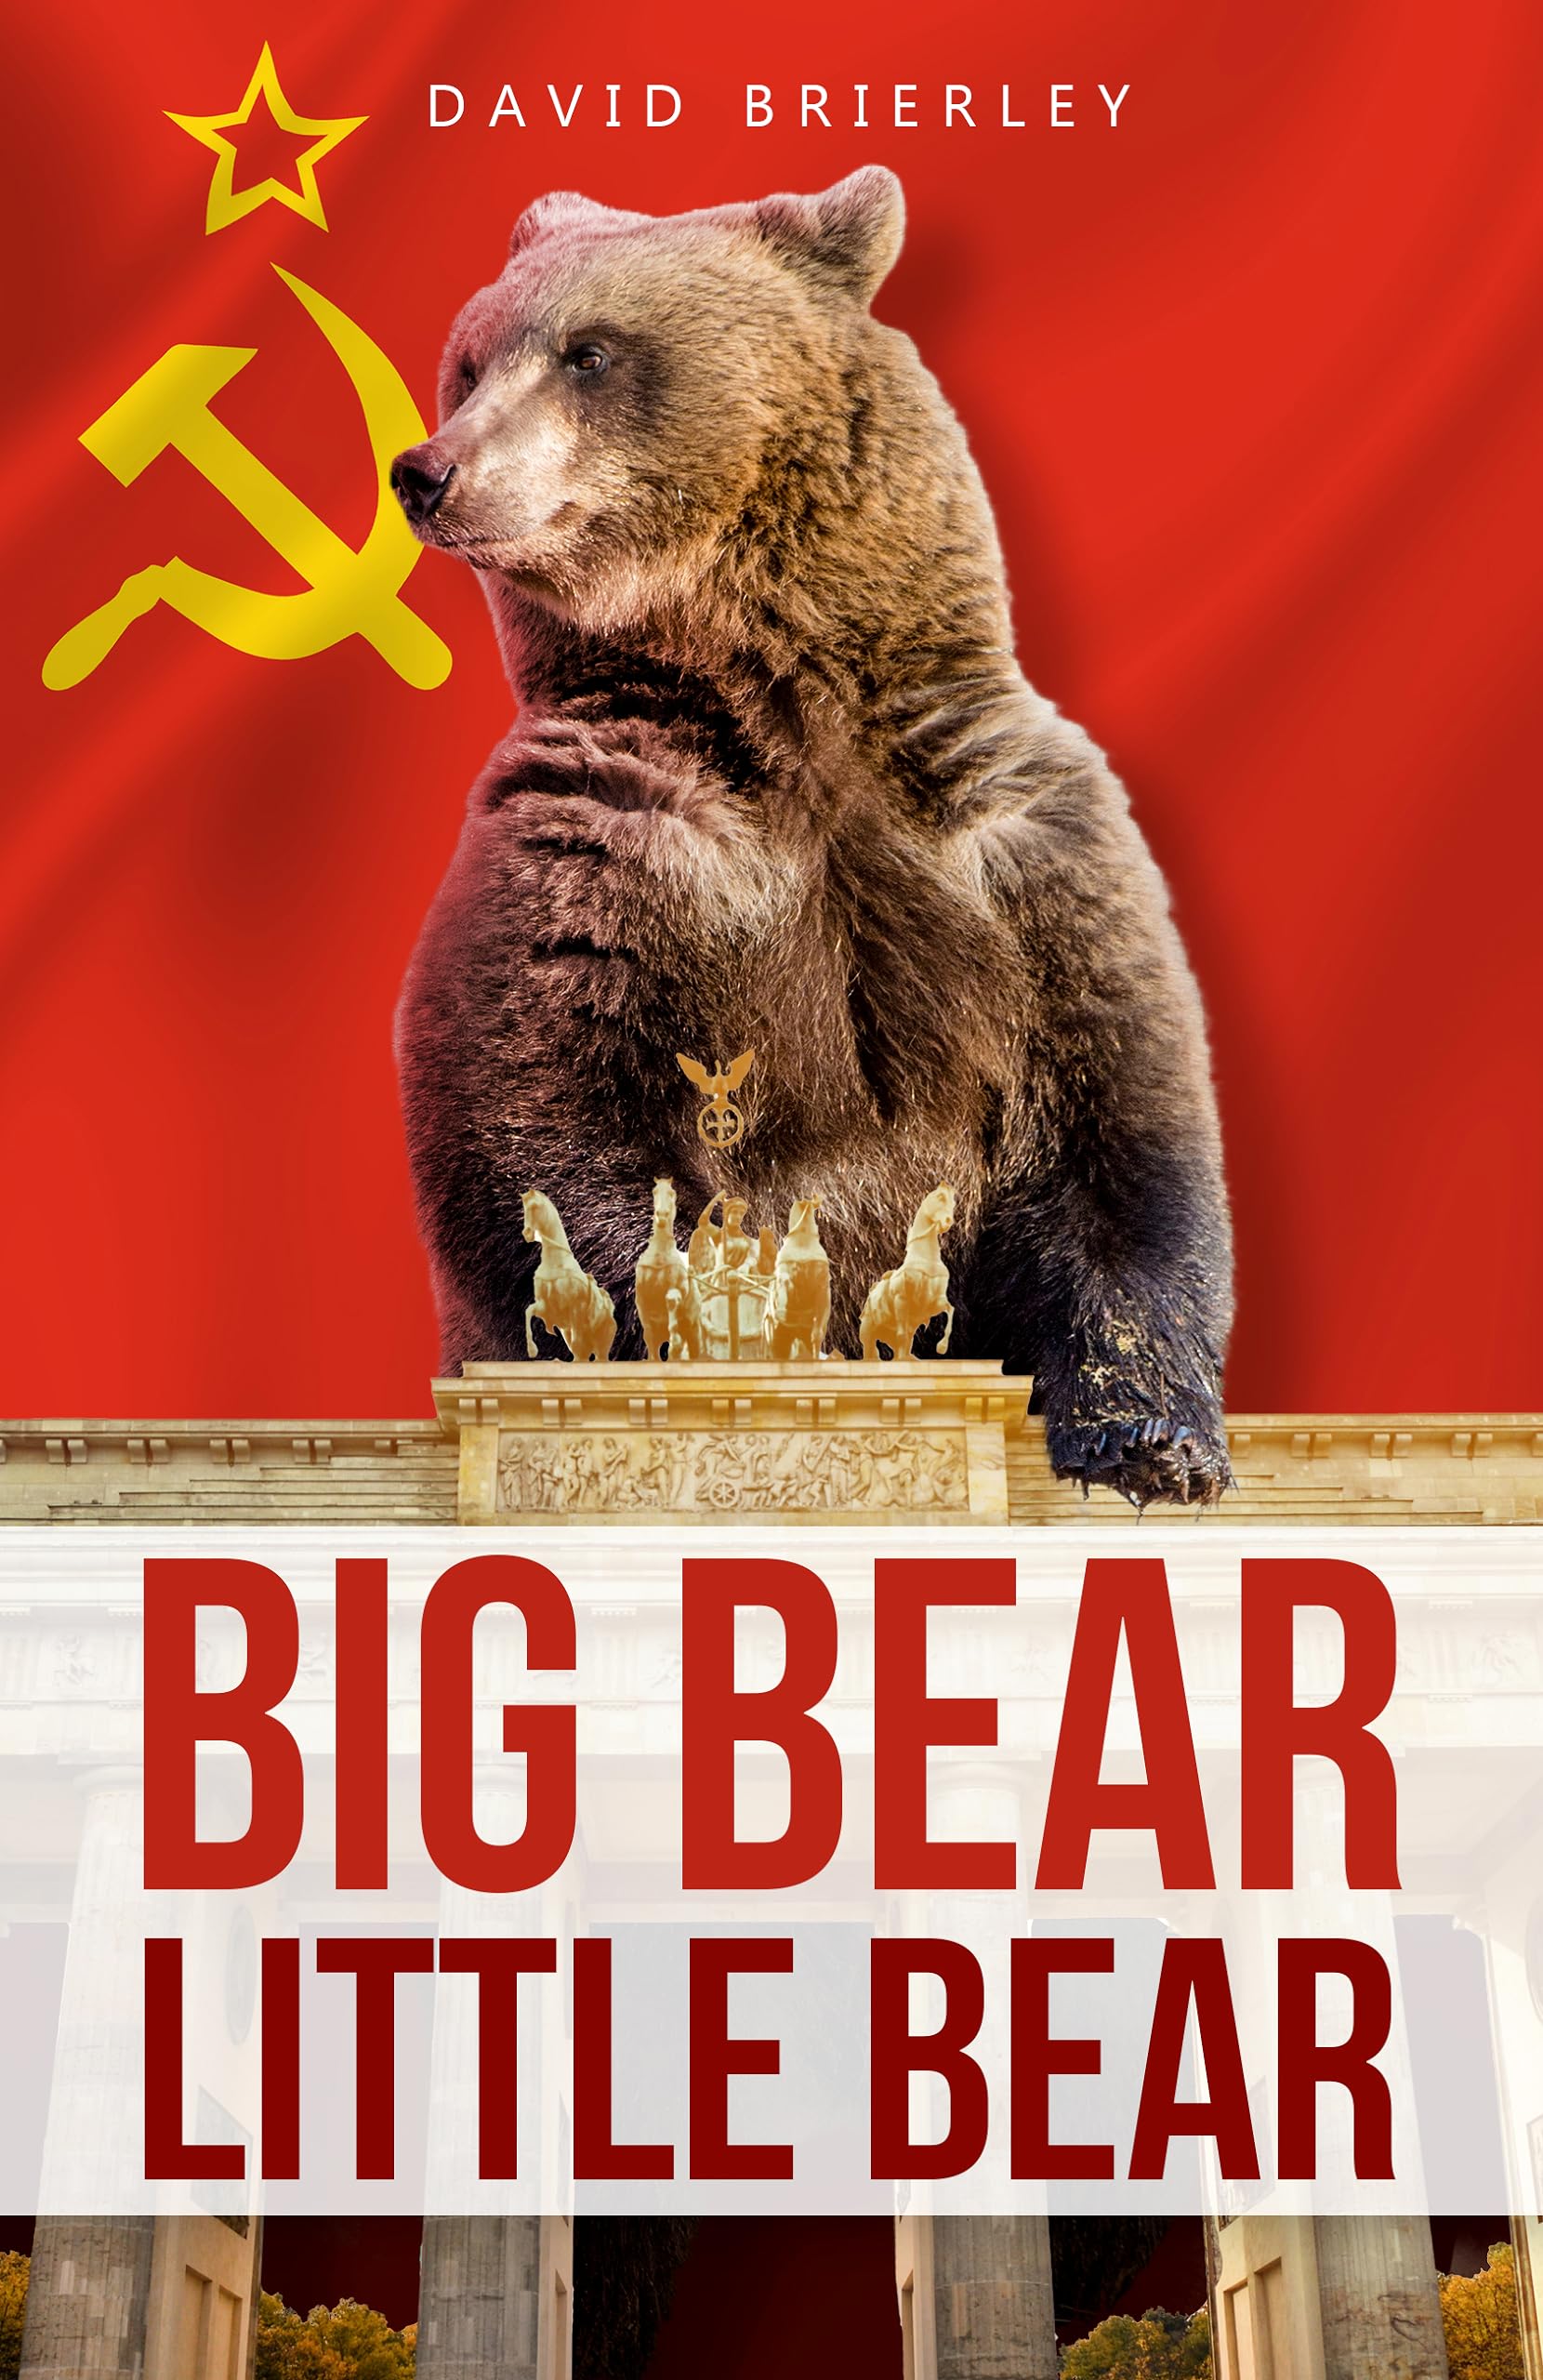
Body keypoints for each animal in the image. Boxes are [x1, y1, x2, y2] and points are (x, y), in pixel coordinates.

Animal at [390, 168, 1233, 1508]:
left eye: (589, 351)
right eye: (467, 363)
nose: (427, 470)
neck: (786, 707)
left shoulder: (1015, 854)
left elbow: (1121, 1129)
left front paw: (1151, 1438)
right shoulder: (602, 857)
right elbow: (544, 1122)